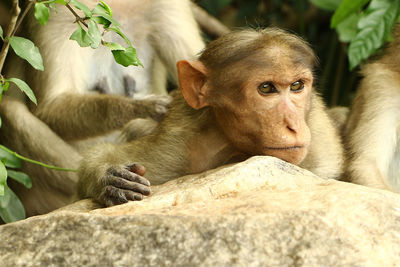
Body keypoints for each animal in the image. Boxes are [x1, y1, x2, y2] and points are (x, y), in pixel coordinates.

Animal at [78, 27, 344, 207]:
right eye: (267, 88)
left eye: (297, 86)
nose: (293, 125)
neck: (234, 147)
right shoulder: (177, 146)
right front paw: (108, 179)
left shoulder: (320, 150)